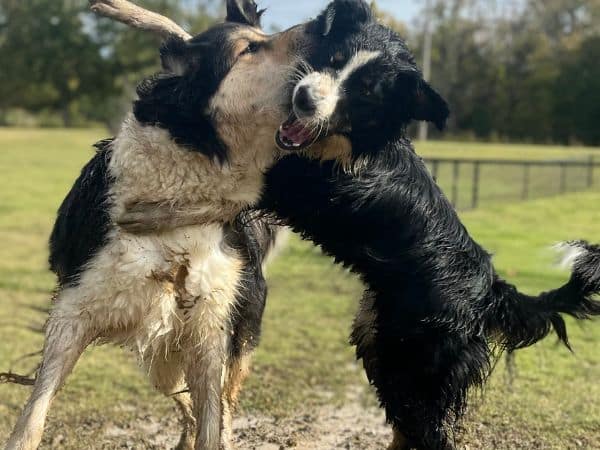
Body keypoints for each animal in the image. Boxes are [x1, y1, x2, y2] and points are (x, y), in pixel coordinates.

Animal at [3, 1, 324, 448]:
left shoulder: (211, 329)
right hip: (163, 357)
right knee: (185, 402)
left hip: (220, 341)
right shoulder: (72, 314)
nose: (331, 27)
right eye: (248, 49)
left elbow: (212, 423)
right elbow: (33, 416)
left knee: (219, 406)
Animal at [122, 1, 600, 448]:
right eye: (333, 59)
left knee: (428, 433)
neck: (338, 144)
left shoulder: (279, 181)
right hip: (379, 343)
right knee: (405, 430)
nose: (303, 99)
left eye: (366, 93)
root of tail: (491, 290)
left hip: (417, 364)